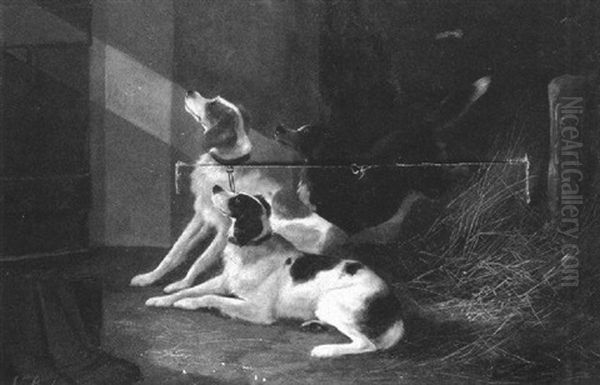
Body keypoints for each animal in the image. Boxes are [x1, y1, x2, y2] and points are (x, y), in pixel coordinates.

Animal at [133, 91, 344, 292]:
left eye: (212, 104)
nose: (189, 92)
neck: (226, 166)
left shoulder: (225, 229)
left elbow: (201, 260)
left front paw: (182, 284)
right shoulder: (201, 217)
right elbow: (175, 251)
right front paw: (149, 277)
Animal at [147, 186, 406, 356]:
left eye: (237, 200)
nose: (216, 186)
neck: (252, 246)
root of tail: (393, 303)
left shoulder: (258, 310)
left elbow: (211, 297)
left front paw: (187, 303)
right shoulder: (224, 281)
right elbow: (191, 289)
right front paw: (163, 299)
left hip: (330, 302)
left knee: (366, 344)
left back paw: (324, 350)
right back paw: (314, 325)